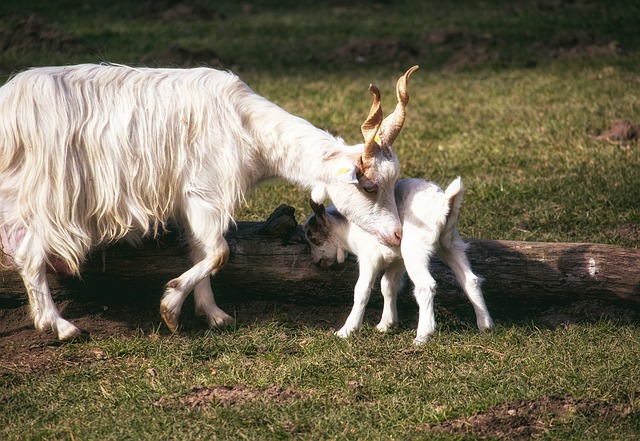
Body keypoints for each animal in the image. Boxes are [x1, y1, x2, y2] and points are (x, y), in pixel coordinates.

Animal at [1, 62, 420, 338]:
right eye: (368, 186)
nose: (398, 235)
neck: (246, 127)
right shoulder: (204, 190)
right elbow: (219, 252)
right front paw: (171, 308)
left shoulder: (192, 199)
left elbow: (201, 251)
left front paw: (213, 314)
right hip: (50, 197)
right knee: (29, 254)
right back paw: (60, 326)